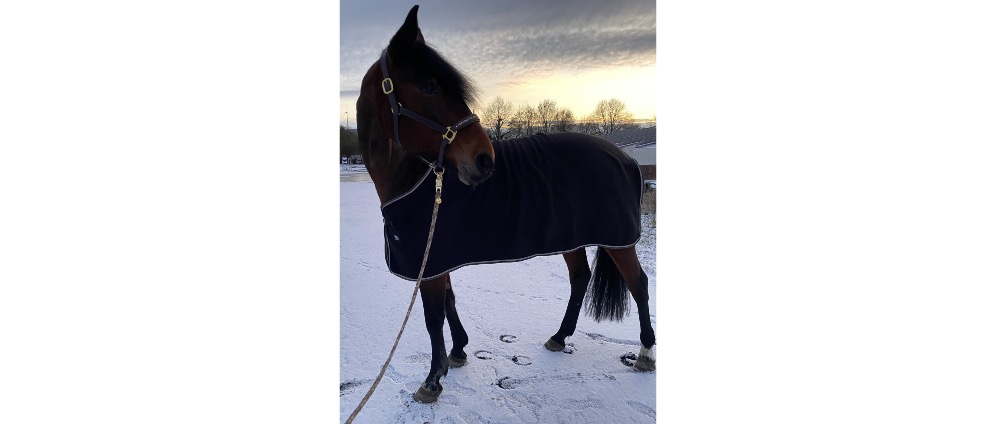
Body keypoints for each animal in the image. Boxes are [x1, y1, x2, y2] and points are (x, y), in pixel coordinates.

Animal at [354, 5, 656, 404]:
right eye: (429, 86)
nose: (484, 159)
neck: (416, 179)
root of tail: (626, 158)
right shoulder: (438, 257)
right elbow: (449, 302)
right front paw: (458, 352)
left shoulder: (429, 263)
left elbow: (433, 316)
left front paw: (432, 381)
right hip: (572, 239)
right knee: (580, 279)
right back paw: (559, 338)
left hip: (618, 241)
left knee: (638, 284)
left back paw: (646, 353)